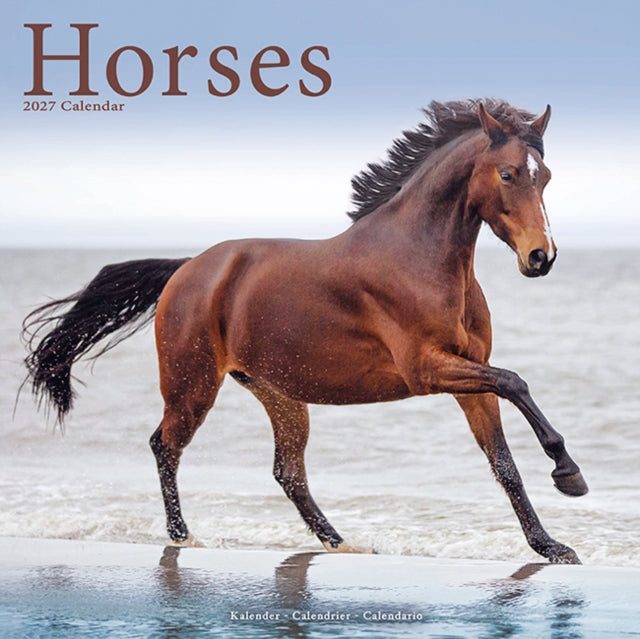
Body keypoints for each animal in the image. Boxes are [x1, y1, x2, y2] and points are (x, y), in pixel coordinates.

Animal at [22, 98, 588, 564]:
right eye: (509, 174)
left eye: (546, 176)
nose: (541, 258)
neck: (420, 257)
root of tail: (188, 269)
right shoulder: (428, 369)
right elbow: (516, 382)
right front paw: (569, 473)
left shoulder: (469, 378)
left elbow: (504, 462)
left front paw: (551, 545)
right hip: (192, 386)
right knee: (165, 446)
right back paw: (183, 538)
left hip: (279, 394)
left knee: (287, 472)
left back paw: (342, 543)